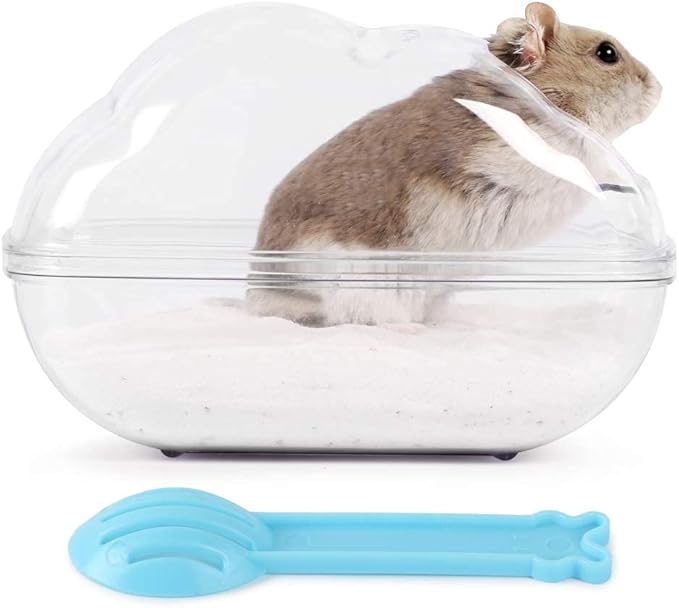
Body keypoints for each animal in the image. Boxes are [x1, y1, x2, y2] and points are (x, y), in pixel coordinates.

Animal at [247, 2, 661, 326]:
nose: (659, 89)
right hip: (359, 284)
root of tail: (265, 292)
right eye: (607, 53)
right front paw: (628, 180)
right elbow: (588, 163)